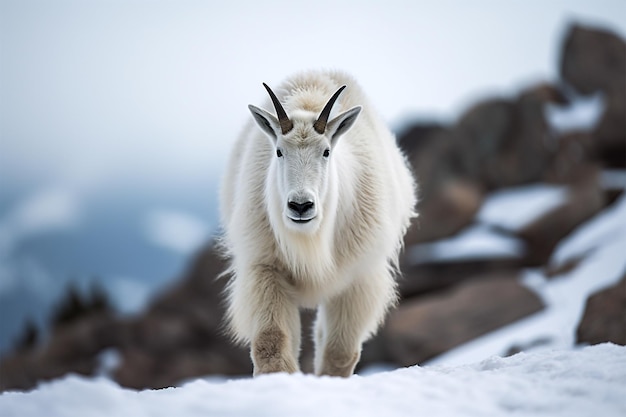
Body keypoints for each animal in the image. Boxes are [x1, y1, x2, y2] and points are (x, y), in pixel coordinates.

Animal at [219, 70, 414, 376]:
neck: (310, 238)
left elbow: (340, 350)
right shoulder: (265, 268)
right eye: (279, 151)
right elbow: (272, 341)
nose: (300, 206)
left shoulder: (358, 277)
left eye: (325, 151)